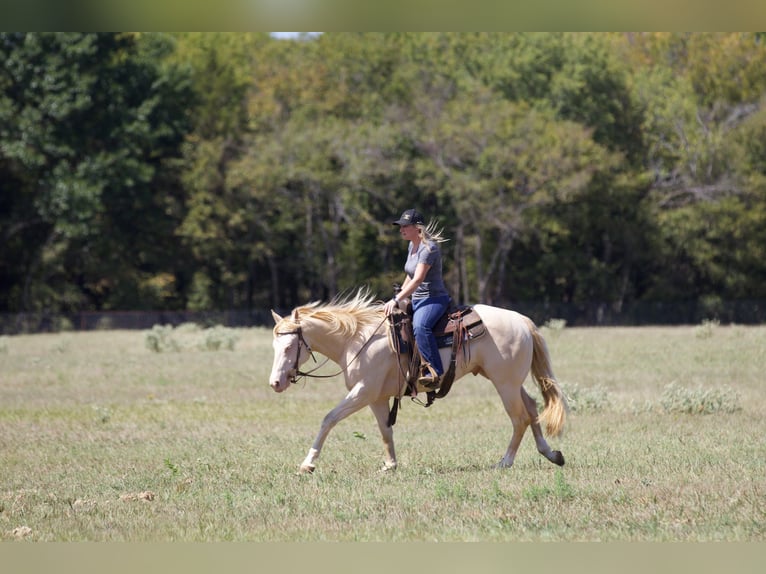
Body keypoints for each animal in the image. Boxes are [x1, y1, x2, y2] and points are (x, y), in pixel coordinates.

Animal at [268, 290, 568, 474]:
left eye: (289, 346)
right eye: (274, 346)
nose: (275, 383)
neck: (357, 339)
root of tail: (523, 321)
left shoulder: (363, 392)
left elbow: (328, 419)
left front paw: (307, 464)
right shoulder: (376, 397)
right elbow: (385, 431)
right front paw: (390, 465)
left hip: (504, 383)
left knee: (519, 418)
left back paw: (505, 462)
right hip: (510, 381)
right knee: (532, 407)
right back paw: (551, 453)